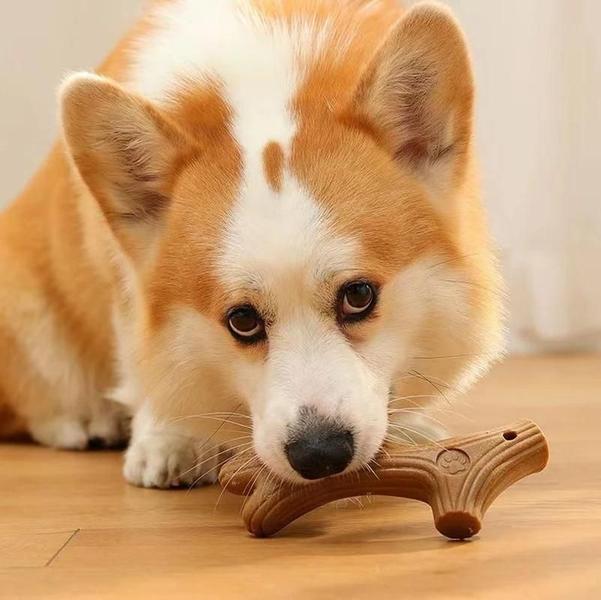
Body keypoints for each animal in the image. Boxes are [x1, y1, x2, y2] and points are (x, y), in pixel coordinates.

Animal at [0, 0, 502, 488]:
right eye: (242, 320)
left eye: (359, 295)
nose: (320, 456)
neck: (261, 93)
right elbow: (146, 363)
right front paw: (168, 439)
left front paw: (409, 426)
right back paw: (88, 422)